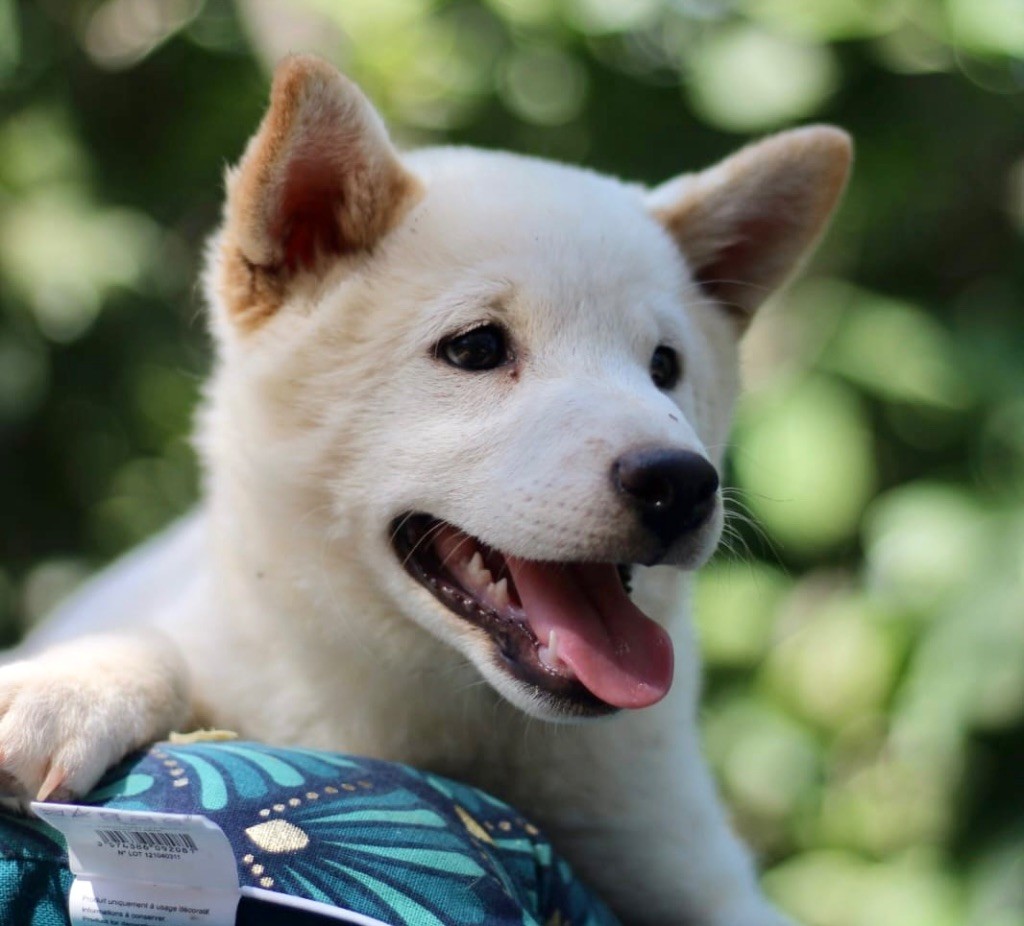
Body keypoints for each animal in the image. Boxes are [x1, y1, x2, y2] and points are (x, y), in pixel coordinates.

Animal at [4, 56, 851, 926]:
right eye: (476, 347)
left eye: (664, 367)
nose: (680, 483)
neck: (450, 728)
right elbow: (160, 645)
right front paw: (61, 691)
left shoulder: (688, 861)